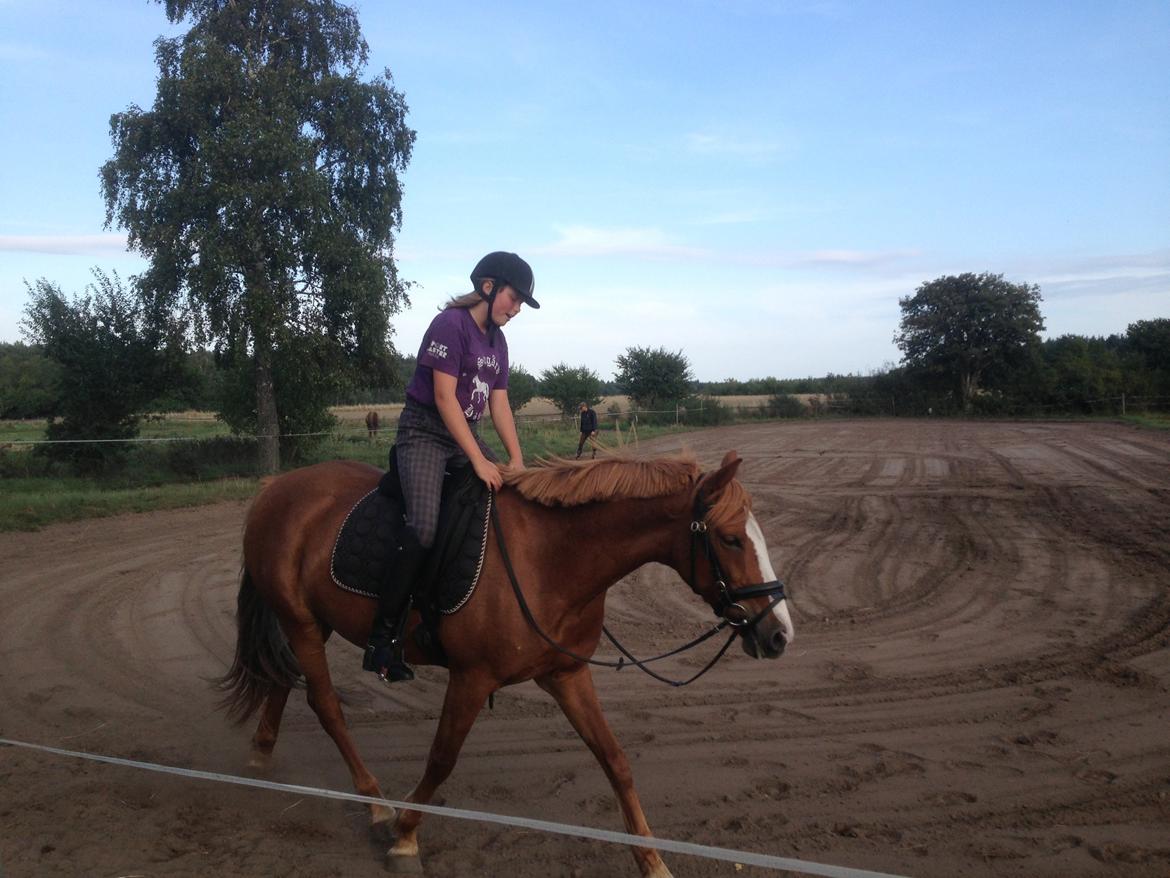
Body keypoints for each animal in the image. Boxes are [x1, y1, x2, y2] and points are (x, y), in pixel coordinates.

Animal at [217, 451, 795, 876]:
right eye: (730, 538)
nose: (779, 634)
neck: (550, 558)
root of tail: (276, 487)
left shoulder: (567, 675)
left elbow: (615, 760)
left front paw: (653, 862)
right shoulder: (473, 678)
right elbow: (441, 759)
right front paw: (405, 836)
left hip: (311, 623)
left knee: (282, 682)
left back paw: (261, 756)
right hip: (301, 623)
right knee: (325, 704)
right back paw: (376, 804)